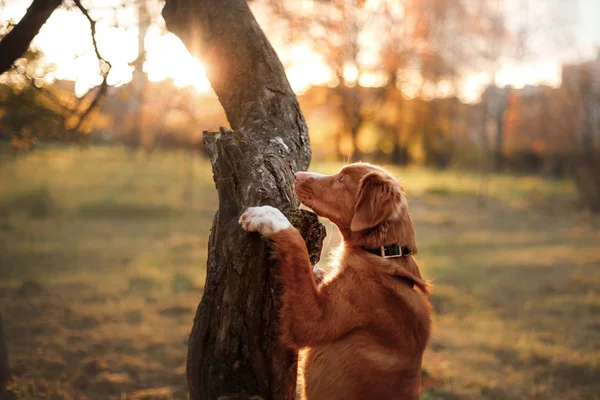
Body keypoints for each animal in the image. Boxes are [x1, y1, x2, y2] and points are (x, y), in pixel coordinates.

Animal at [239, 163, 432, 400]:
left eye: (341, 180)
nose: (297, 175)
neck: (381, 254)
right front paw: (318, 272)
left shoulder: (314, 322)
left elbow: (297, 247)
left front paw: (271, 217)